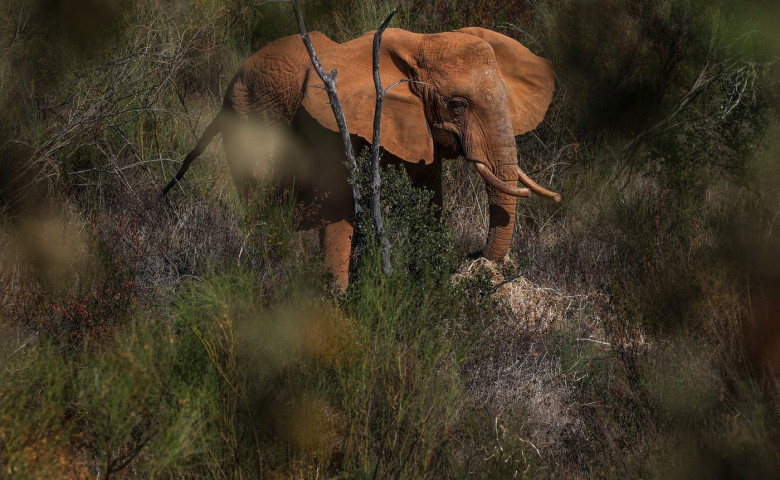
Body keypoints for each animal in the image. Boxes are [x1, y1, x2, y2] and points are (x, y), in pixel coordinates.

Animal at [163, 27, 560, 289]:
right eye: (458, 105)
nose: (474, 258)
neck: (418, 43)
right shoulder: (331, 128)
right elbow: (338, 211)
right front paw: (338, 310)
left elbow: (429, 202)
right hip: (246, 120)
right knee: (260, 206)